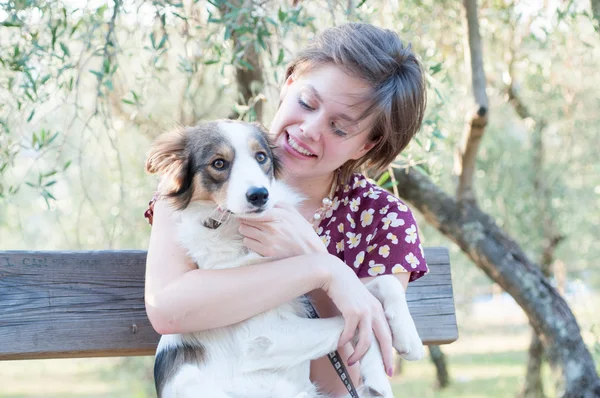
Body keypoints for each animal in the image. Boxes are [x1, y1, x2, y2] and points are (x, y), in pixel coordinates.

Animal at [145, 119, 424, 396]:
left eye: (261, 157)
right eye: (219, 163)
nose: (259, 194)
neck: (238, 231)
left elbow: (377, 285)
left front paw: (409, 339)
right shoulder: (264, 338)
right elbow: (362, 319)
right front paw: (378, 376)